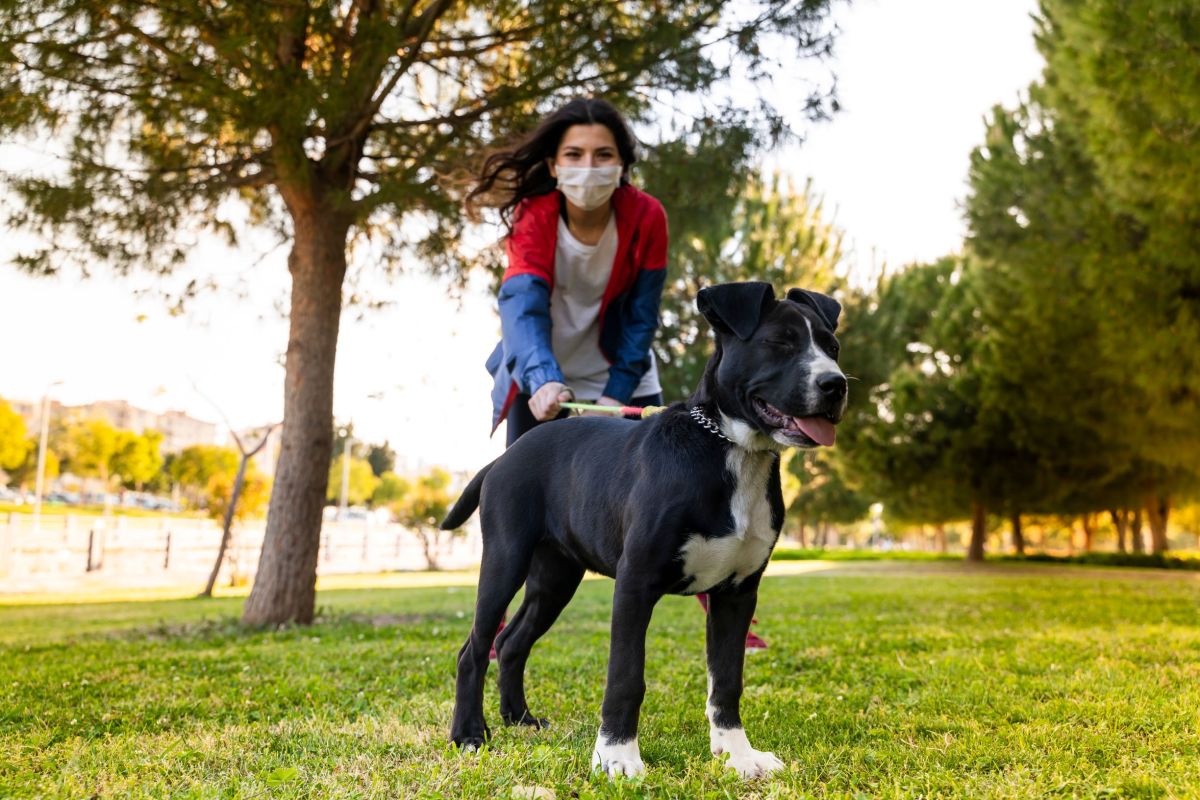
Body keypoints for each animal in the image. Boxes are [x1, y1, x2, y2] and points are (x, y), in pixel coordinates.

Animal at [439, 280, 844, 777]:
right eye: (780, 343)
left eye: (832, 347)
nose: (836, 384)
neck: (731, 449)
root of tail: (501, 459)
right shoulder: (635, 583)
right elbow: (626, 677)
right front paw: (616, 756)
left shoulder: (737, 594)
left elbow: (727, 680)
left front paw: (738, 754)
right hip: (505, 559)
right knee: (475, 648)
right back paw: (469, 734)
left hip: (555, 578)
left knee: (512, 642)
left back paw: (520, 719)